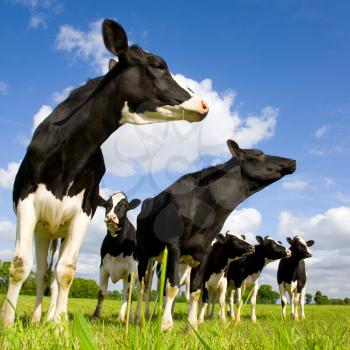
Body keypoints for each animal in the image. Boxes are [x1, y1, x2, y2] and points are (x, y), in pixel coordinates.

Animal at [93, 193, 142, 322]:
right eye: (107, 205)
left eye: (124, 205)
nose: (110, 217)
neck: (116, 247)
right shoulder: (103, 267)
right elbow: (101, 293)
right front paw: (95, 316)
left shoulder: (131, 269)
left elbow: (130, 294)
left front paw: (126, 319)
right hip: (125, 277)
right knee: (126, 292)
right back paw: (125, 317)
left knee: (140, 294)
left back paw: (136, 318)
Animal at [134, 138, 296, 330]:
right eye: (259, 154)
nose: (292, 161)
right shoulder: (174, 245)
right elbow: (172, 287)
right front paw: (166, 325)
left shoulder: (203, 251)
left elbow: (196, 291)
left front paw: (192, 326)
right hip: (144, 254)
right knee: (142, 287)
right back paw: (138, 318)